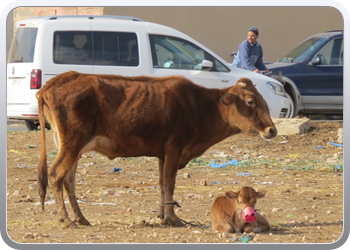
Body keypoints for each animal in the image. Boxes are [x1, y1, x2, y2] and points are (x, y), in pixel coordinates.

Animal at [35, 71, 276, 229]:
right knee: (56, 175)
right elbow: (169, 184)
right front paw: (173, 218)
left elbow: (161, 185)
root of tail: (58, 81)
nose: (272, 130)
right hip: (72, 143)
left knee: (68, 181)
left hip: (72, 147)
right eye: (250, 101)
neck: (200, 107)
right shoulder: (174, 148)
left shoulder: (162, 154)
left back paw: (80, 218)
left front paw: (162, 216)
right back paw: (66, 219)